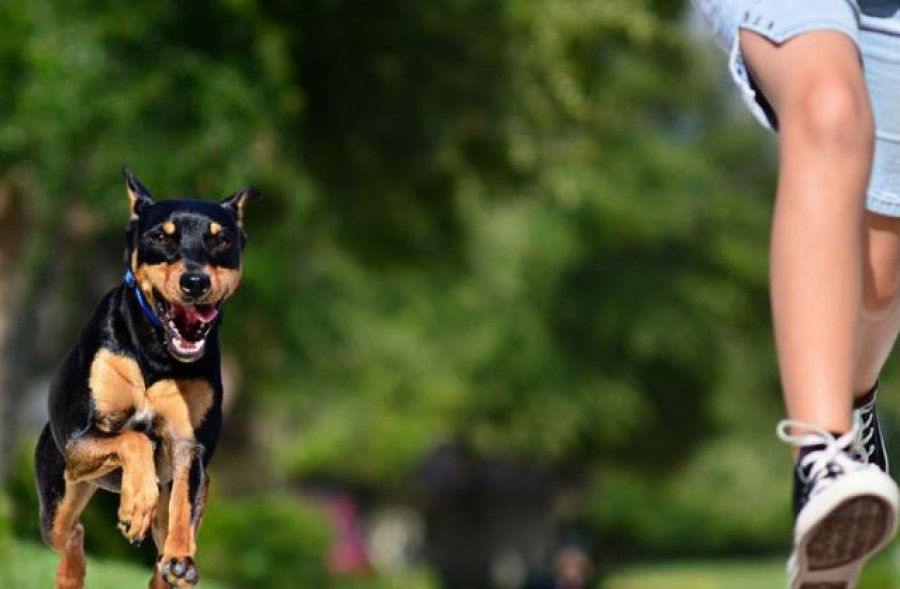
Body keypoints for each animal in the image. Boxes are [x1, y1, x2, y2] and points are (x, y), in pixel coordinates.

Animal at [35, 168, 260, 584]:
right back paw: (72, 574)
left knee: (164, 544)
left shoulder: (190, 445)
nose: (195, 282)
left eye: (221, 239)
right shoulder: (81, 438)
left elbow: (183, 504)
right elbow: (135, 439)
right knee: (71, 532)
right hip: (61, 489)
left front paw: (178, 555)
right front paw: (135, 505)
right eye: (159, 237)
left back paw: (174, 567)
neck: (157, 353)